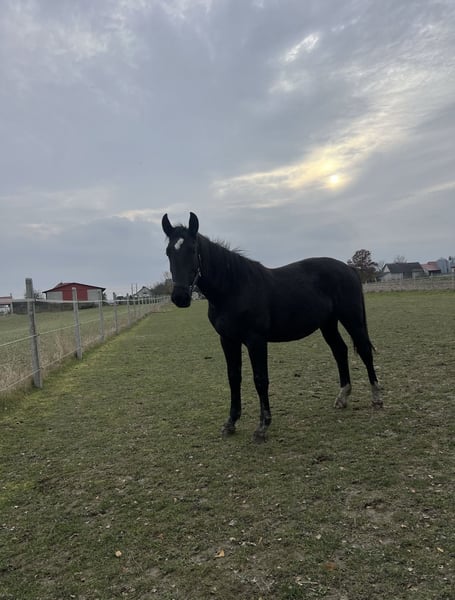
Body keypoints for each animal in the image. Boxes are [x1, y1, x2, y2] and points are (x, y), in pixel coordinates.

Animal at [162, 212, 382, 442]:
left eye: (192, 249)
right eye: (168, 252)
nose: (180, 297)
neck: (234, 288)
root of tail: (349, 269)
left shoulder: (256, 340)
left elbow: (260, 380)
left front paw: (262, 427)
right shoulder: (228, 340)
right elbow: (233, 377)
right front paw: (231, 423)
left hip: (352, 319)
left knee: (365, 351)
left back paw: (376, 398)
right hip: (328, 323)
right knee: (340, 351)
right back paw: (342, 397)